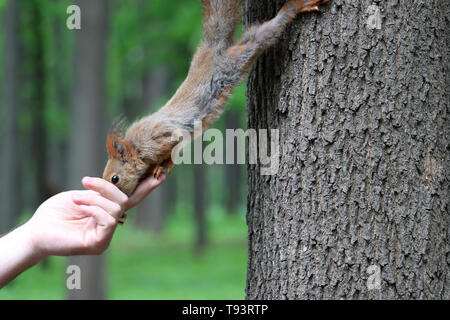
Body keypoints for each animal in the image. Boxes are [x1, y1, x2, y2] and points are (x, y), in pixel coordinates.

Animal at [102, 0, 328, 200]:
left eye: (115, 178)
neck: (136, 148)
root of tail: (212, 47)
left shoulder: (158, 140)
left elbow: (175, 145)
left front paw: (165, 165)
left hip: (236, 59)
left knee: (259, 36)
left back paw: (295, 7)